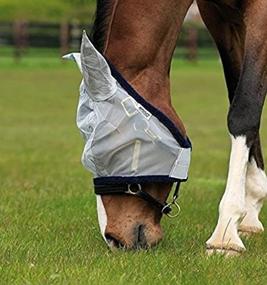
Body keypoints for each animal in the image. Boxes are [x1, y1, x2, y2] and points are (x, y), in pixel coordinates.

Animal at [85, 0, 267, 253]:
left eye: (113, 151)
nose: (113, 239)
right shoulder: (219, 19)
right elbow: (239, 94)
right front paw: (250, 213)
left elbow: (244, 108)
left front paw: (225, 234)